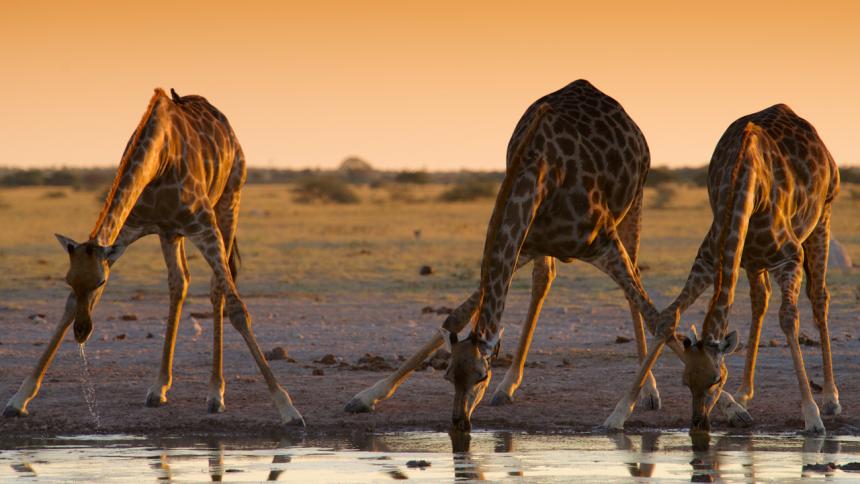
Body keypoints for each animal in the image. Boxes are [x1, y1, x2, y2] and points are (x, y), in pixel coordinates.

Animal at [2, 89, 306, 426]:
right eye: (68, 280)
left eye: (101, 282)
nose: (82, 332)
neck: (160, 159)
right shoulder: (129, 229)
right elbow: (68, 307)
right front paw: (19, 398)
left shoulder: (204, 225)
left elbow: (239, 309)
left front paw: (287, 408)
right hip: (170, 233)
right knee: (180, 282)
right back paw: (159, 387)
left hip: (229, 201)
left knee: (217, 289)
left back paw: (215, 393)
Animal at [346, 80, 676, 432]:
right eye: (448, 376)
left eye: (481, 376)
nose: (459, 422)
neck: (542, 172)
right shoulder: (524, 240)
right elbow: (456, 316)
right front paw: (366, 396)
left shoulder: (604, 243)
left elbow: (660, 318)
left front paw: (626, 410)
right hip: (543, 246)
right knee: (544, 280)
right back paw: (509, 387)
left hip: (634, 204)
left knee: (638, 291)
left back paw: (649, 392)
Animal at [604, 104, 840, 432]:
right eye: (685, 381)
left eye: (717, 380)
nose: (699, 424)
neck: (747, 186)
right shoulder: (709, 259)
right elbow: (668, 317)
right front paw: (618, 413)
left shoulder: (788, 258)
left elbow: (788, 318)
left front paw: (812, 416)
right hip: (753, 261)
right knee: (760, 300)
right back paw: (744, 394)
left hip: (822, 219)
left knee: (819, 297)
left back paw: (830, 399)